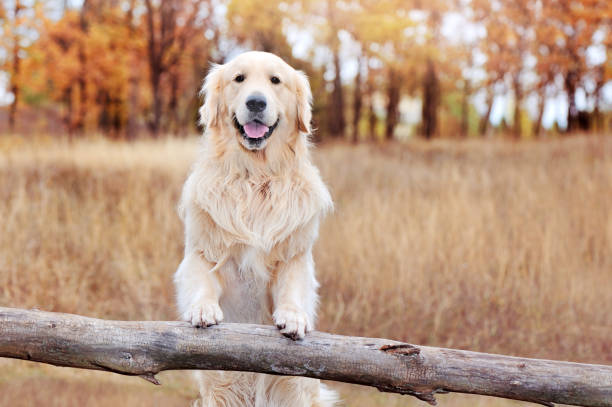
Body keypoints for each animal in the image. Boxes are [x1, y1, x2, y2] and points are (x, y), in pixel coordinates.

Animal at [172, 51, 338, 407]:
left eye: (276, 80)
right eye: (239, 79)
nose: (256, 102)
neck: (254, 177)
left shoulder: (295, 256)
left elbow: (292, 287)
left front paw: (293, 316)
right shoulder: (202, 251)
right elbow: (201, 279)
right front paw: (203, 308)